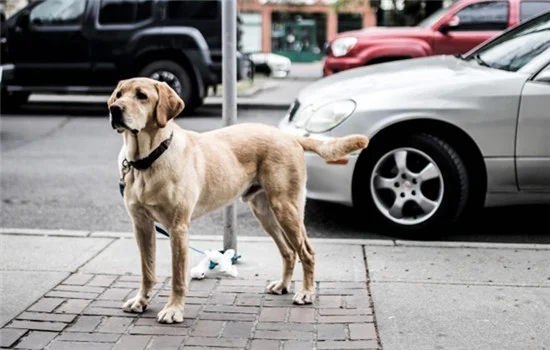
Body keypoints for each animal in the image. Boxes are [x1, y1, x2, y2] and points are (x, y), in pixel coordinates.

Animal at [108, 78, 368, 324]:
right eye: (119, 94)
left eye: (142, 96)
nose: (114, 109)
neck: (147, 160)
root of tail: (290, 137)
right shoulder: (142, 226)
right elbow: (147, 270)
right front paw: (141, 301)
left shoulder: (178, 227)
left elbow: (178, 277)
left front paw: (173, 310)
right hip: (265, 212)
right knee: (288, 252)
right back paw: (283, 285)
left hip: (287, 208)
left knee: (306, 252)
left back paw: (306, 293)